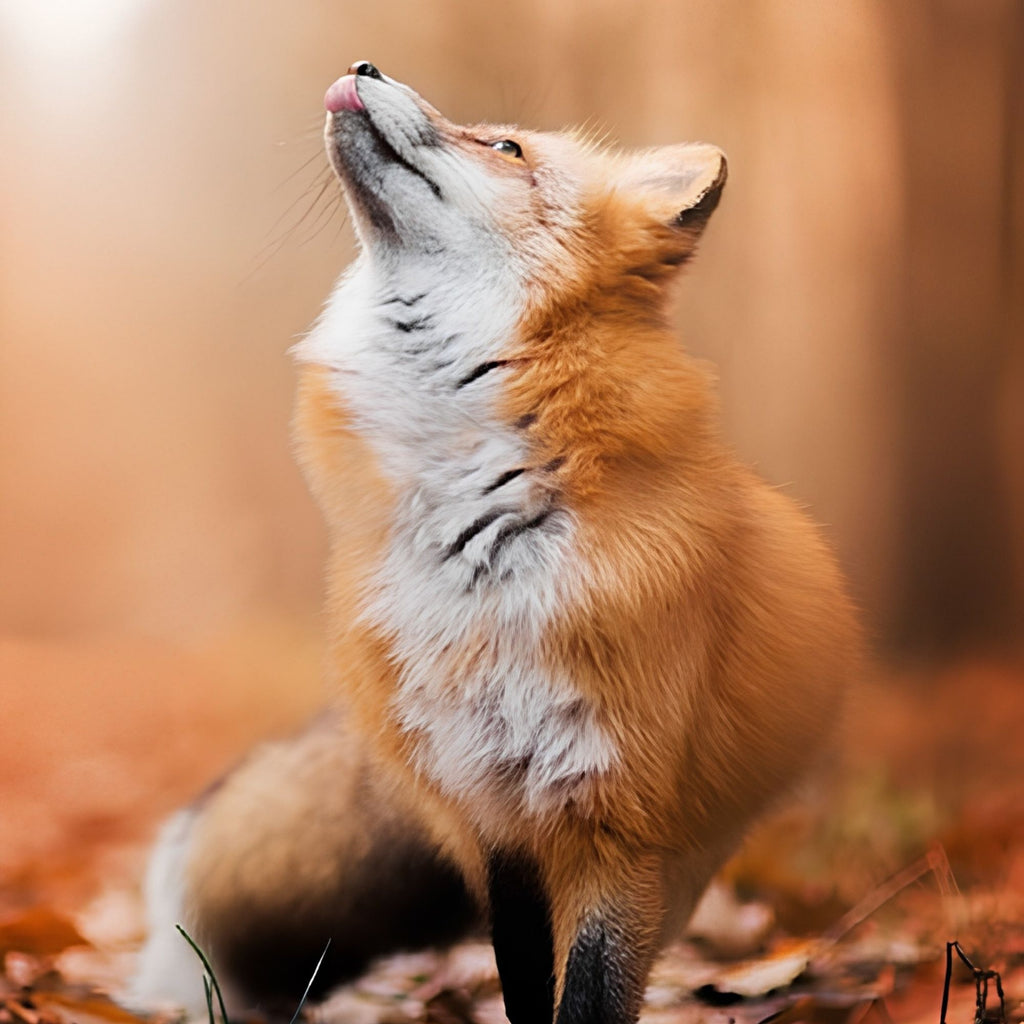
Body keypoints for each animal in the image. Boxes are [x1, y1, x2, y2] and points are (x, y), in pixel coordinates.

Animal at [132, 62, 860, 1024]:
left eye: (506, 147)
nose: (363, 67)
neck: (479, 548)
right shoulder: (491, 815)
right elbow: (524, 988)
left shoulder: (616, 823)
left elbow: (586, 998)